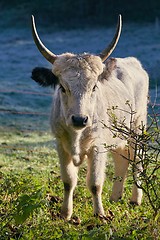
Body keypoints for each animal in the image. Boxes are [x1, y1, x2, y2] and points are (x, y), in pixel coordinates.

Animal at [31, 15, 149, 220]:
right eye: (62, 87)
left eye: (94, 86)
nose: (80, 119)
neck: (77, 135)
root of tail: (132, 63)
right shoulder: (61, 145)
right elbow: (68, 181)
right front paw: (66, 214)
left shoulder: (97, 147)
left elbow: (95, 183)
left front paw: (100, 214)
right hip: (119, 137)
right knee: (122, 160)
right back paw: (115, 197)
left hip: (137, 128)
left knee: (138, 161)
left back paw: (135, 200)